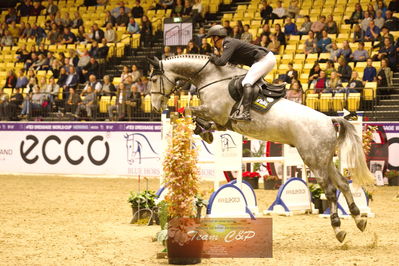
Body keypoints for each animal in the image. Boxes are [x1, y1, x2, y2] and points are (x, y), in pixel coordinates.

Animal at [148, 55, 376, 242]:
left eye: (153, 80)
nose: (157, 106)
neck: (210, 76)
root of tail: (329, 120)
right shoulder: (221, 121)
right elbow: (192, 114)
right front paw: (205, 131)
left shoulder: (215, 112)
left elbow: (187, 109)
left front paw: (202, 129)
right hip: (325, 160)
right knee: (343, 184)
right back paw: (359, 218)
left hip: (314, 160)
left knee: (330, 191)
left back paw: (339, 229)